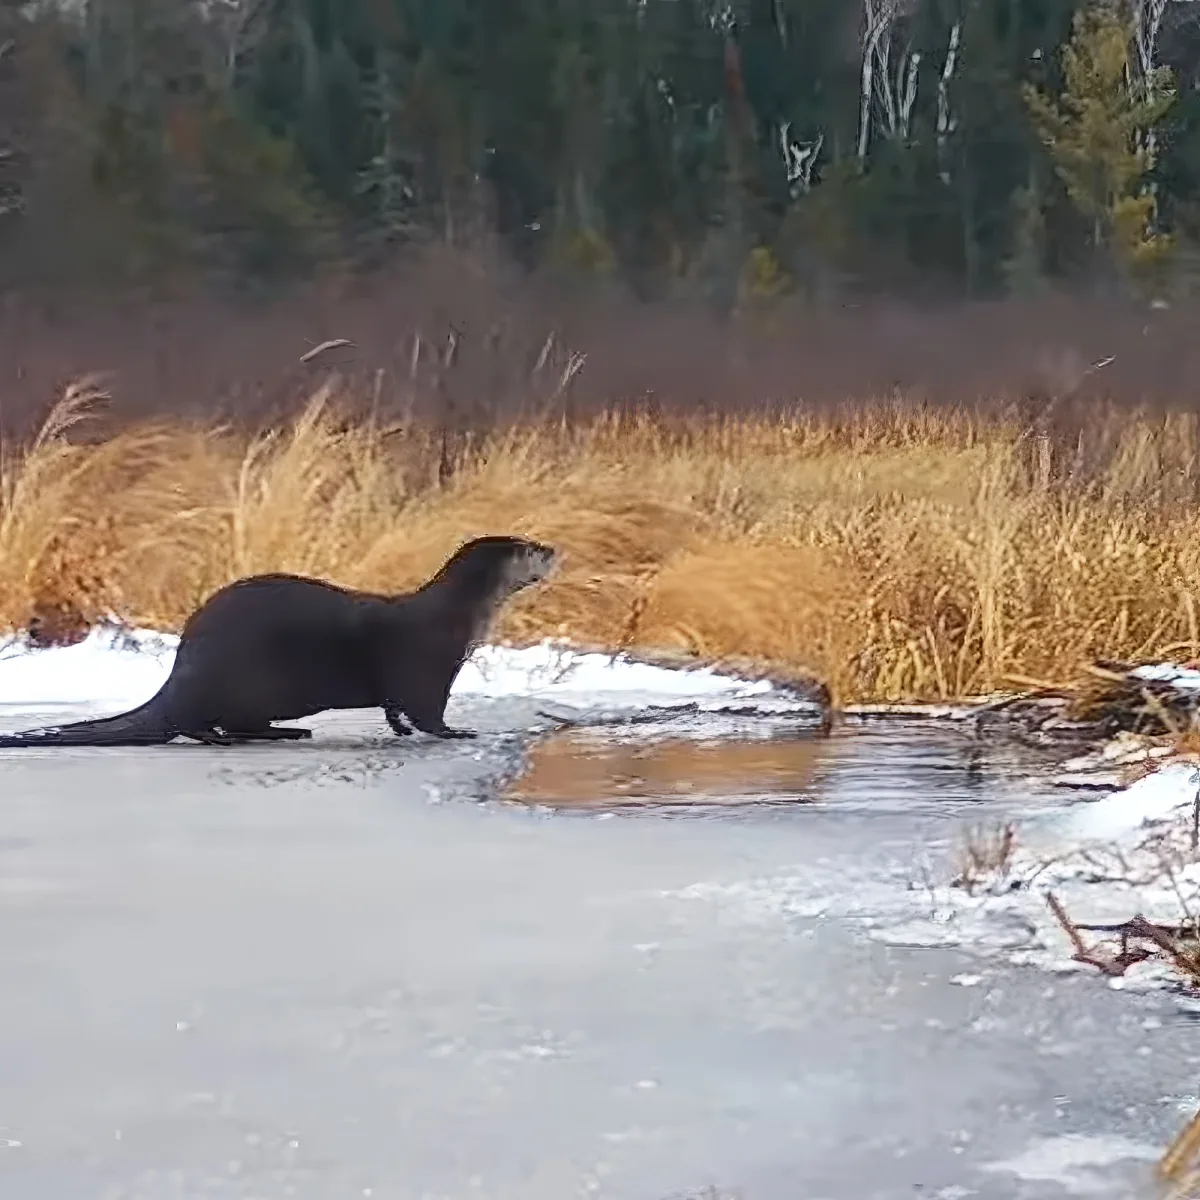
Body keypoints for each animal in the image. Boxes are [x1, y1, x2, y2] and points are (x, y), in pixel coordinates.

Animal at [0, 534, 557, 748]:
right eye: (529, 549)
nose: (554, 549)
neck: (456, 616)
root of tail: (179, 675)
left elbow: (394, 709)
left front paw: (398, 729)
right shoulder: (428, 665)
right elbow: (426, 710)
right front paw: (456, 732)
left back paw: (286, 733)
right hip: (237, 680)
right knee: (197, 725)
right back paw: (244, 736)